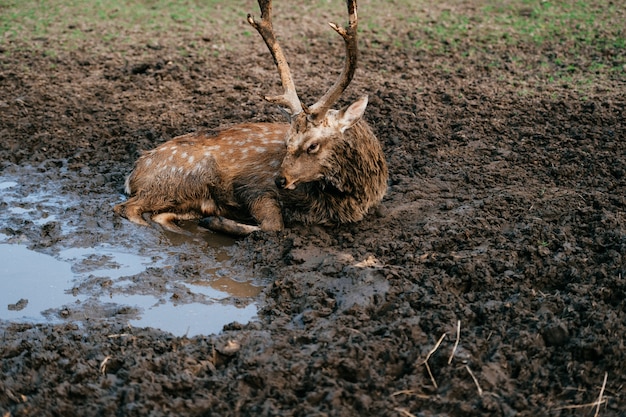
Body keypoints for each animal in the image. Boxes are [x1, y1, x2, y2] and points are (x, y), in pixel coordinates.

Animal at [112, 0, 386, 236]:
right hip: (182, 178)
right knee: (126, 208)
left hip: (185, 197)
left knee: (160, 215)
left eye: (312, 145)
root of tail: (133, 175)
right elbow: (273, 226)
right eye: (287, 141)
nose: (280, 179)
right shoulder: (254, 186)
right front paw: (218, 221)